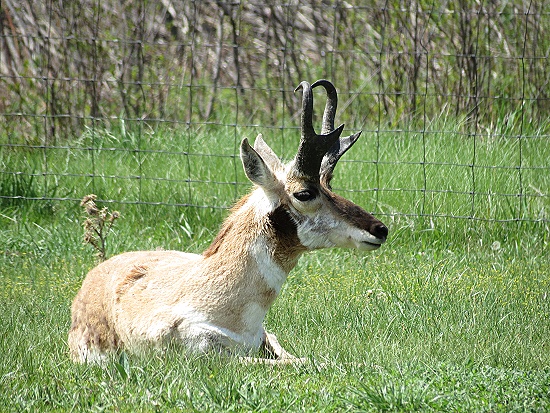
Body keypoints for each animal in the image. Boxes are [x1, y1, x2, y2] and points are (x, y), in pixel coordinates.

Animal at [68, 79, 388, 362]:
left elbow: (312, 361)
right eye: (304, 193)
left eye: (328, 184)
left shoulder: (268, 339)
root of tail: (95, 276)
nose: (380, 229)